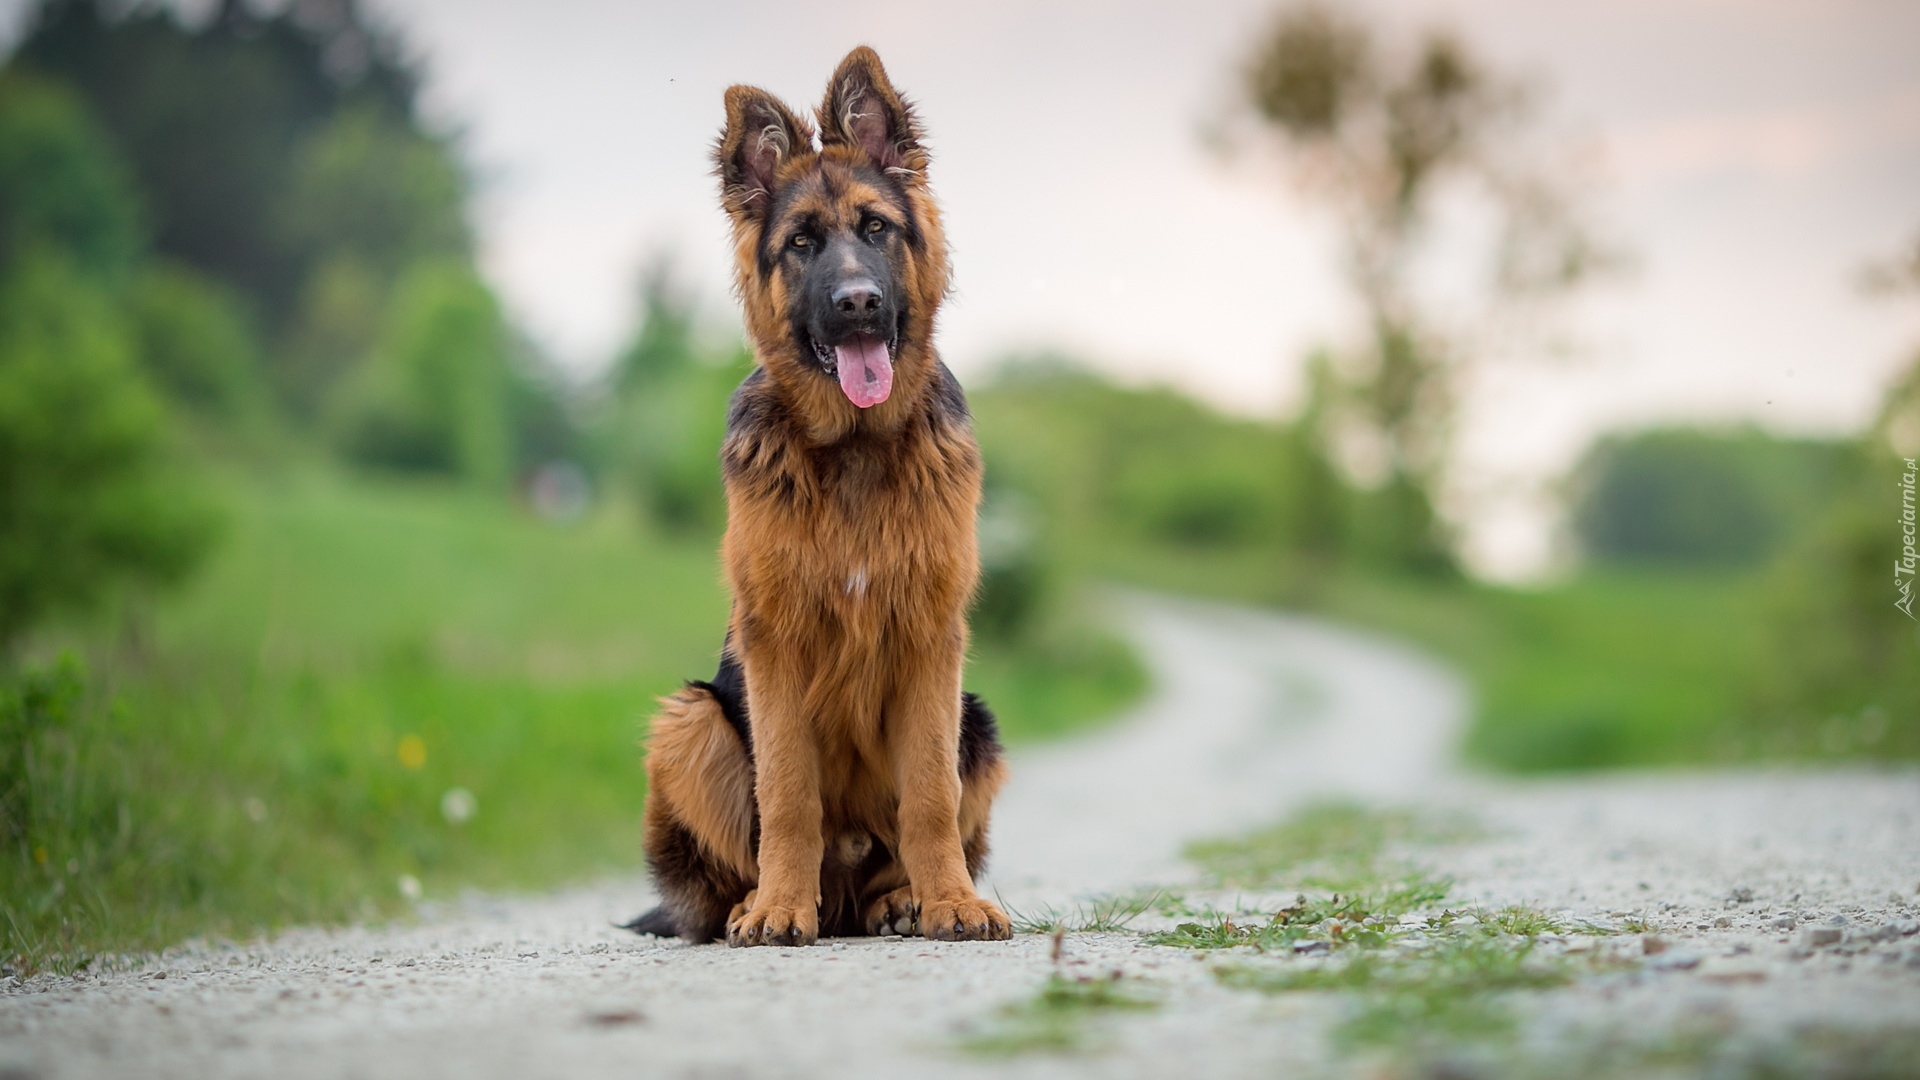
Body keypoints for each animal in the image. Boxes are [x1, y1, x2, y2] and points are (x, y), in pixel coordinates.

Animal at [629, 48, 1021, 941]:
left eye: (876, 229)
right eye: (802, 244)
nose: (858, 305)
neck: (854, 450)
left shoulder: (932, 640)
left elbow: (928, 795)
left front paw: (951, 900)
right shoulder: (773, 643)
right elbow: (787, 794)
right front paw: (779, 906)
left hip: (977, 723)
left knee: (899, 841)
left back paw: (902, 898)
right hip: (688, 721)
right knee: (727, 875)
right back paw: (758, 900)